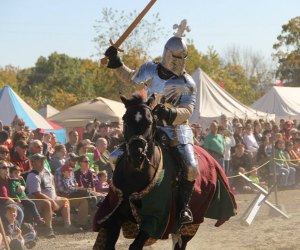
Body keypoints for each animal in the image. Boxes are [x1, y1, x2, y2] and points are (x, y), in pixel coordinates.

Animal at [93, 94, 237, 250]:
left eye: (149, 122)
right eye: (125, 119)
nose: (137, 154)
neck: (135, 176)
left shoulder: (154, 220)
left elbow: (135, 245)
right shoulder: (113, 214)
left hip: (192, 224)